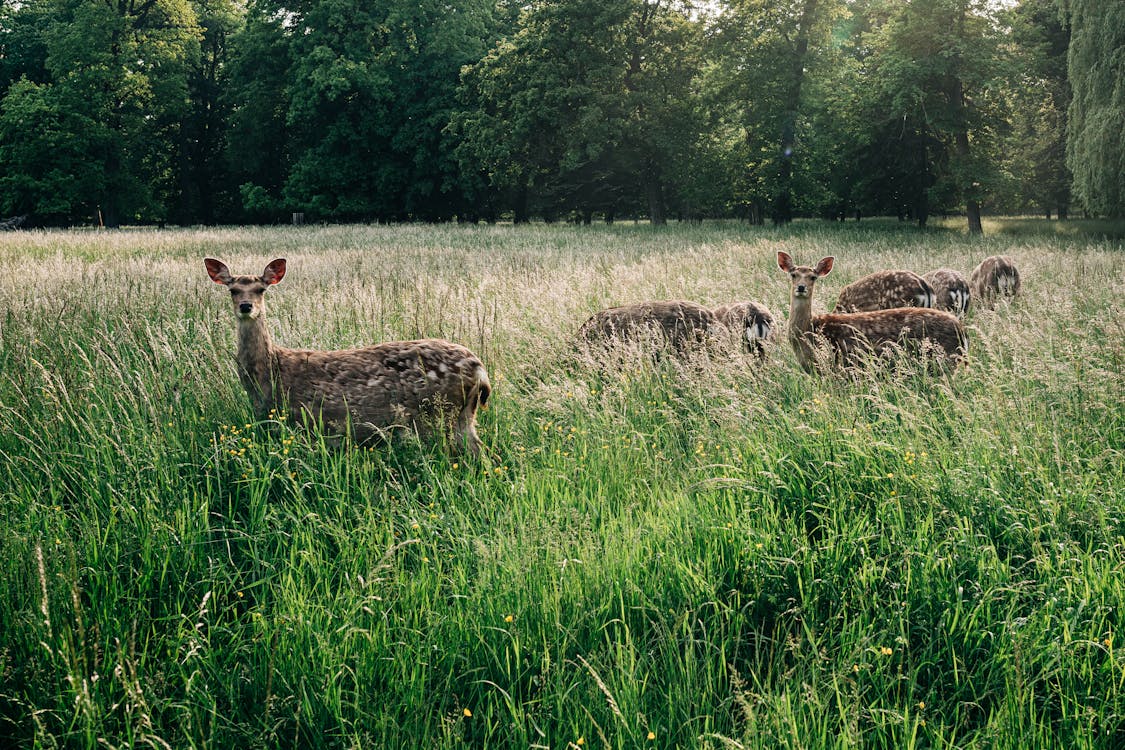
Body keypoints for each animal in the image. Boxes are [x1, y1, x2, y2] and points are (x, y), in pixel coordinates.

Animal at [204, 258, 490, 458]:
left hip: (438, 414)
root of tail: (480, 370)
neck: (269, 374)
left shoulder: (301, 422)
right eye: (232, 290)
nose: (246, 306)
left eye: (261, 289)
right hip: (462, 417)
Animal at [778, 251, 972, 373]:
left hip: (946, 360)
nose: (801, 287)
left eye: (813, 277)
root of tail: (962, 332)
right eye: (793, 275)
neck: (809, 330)